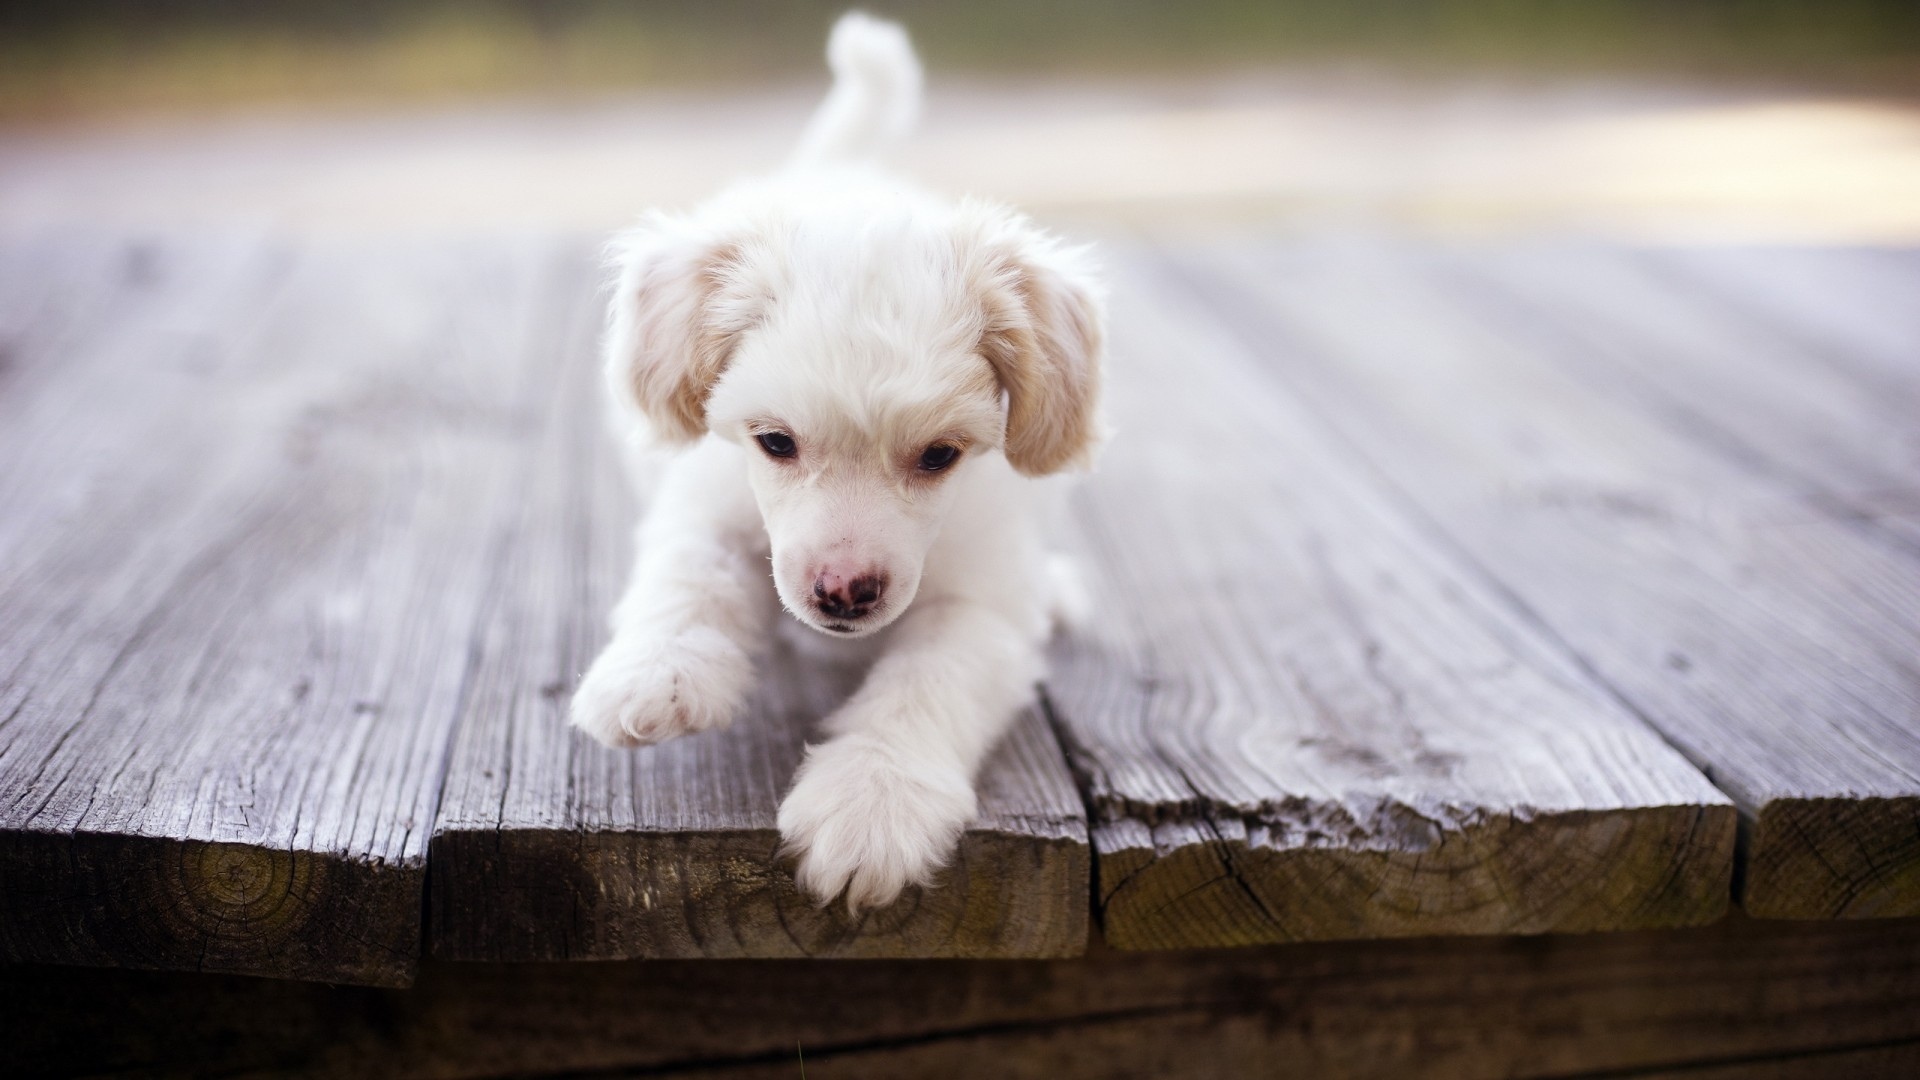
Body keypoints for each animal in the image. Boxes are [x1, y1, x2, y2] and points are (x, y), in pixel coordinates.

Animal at [568, 12, 1113, 910]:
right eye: (775, 442)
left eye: (940, 454)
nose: (845, 592)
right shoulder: (705, 499)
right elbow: (690, 577)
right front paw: (657, 671)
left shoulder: (982, 606)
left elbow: (926, 682)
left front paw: (873, 799)